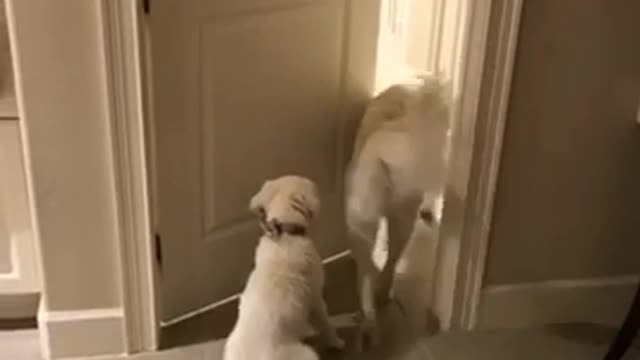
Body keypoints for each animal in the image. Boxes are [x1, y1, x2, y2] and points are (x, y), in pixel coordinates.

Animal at [344, 72, 450, 348]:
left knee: (367, 271)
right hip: (402, 218)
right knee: (390, 260)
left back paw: (370, 315)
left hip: (359, 221)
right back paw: (380, 298)